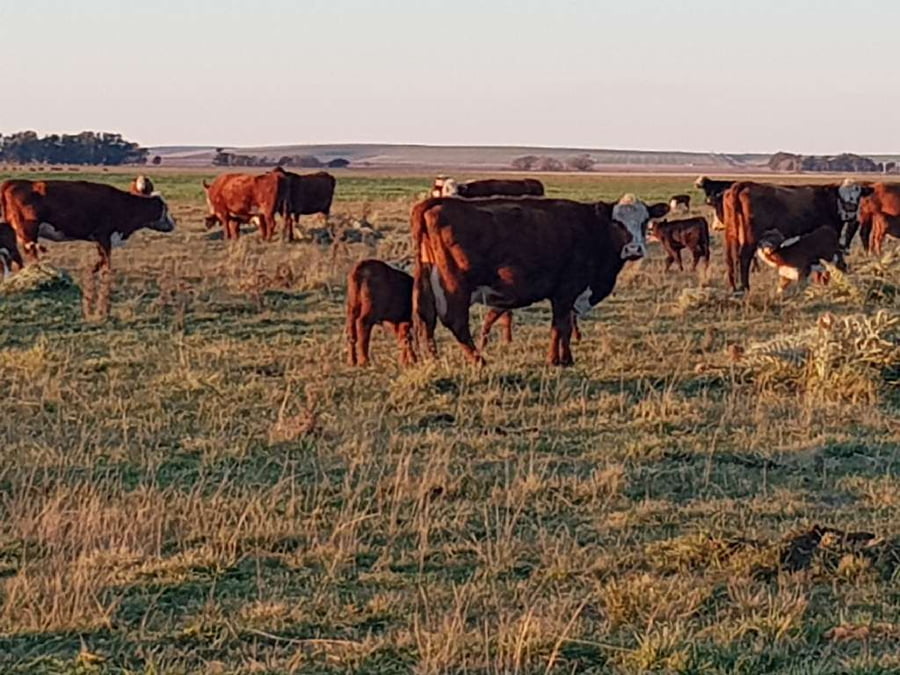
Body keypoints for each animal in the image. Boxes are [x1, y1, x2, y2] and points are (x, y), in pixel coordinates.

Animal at [0, 179, 176, 312]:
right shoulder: (104, 236)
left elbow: (100, 260)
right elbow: (107, 262)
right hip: (27, 233)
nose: (173, 224)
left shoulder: (99, 239)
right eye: (165, 207)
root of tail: (11, 183)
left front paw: (90, 273)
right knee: (26, 258)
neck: (122, 205)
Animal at [411, 194, 668, 366]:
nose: (634, 249)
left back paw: (433, 359)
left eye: (645, 221)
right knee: (455, 321)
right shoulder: (565, 291)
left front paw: (567, 358)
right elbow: (560, 327)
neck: (591, 229)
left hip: (427, 281)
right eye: (617, 222)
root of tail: (437, 202)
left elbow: (565, 328)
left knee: (427, 319)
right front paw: (555, 360)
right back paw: (479, 360)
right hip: (455, 285)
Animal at [721, 179, 870, 292]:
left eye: (858, 196)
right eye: (841, 196)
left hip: (731, 236)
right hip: (750, 239)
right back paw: (745, 287)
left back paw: (733, 287)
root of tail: (744, 184)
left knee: (730, 259)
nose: (850, 212)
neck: (829, 202)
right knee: (744, 258)